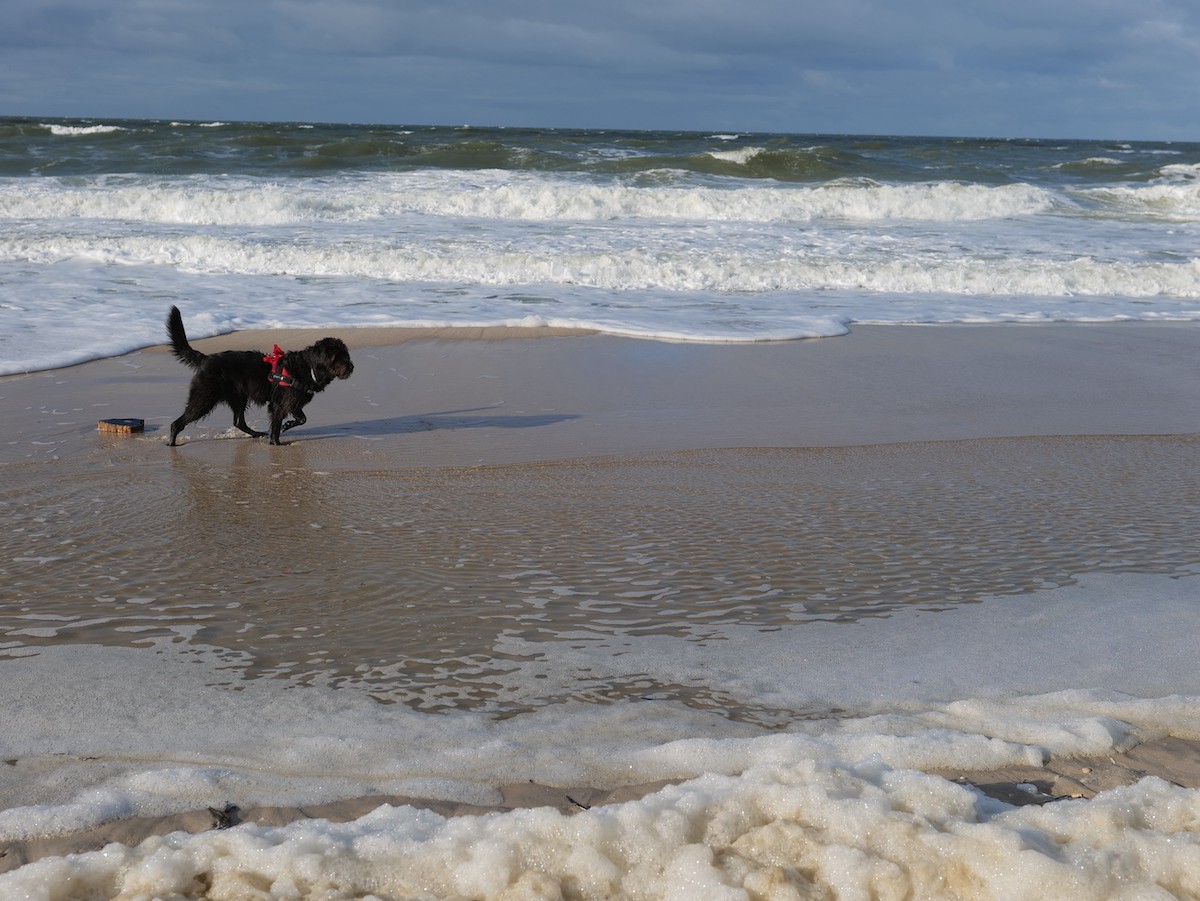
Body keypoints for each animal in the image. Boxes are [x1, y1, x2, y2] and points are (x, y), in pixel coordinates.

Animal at [169, 307, 355, 448]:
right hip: (205, 397)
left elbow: (302, 419)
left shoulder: (294, 402)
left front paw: (287, 425)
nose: (351, 367)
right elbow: (277, 423)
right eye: (337, 357)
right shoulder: (280, 404)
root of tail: (206, 359)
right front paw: (276, 442)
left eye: (346, 355)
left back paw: (256, 434)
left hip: (238, 397)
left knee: (239, 422)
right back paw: (171, 443)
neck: (307, 368)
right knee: (178, 422)